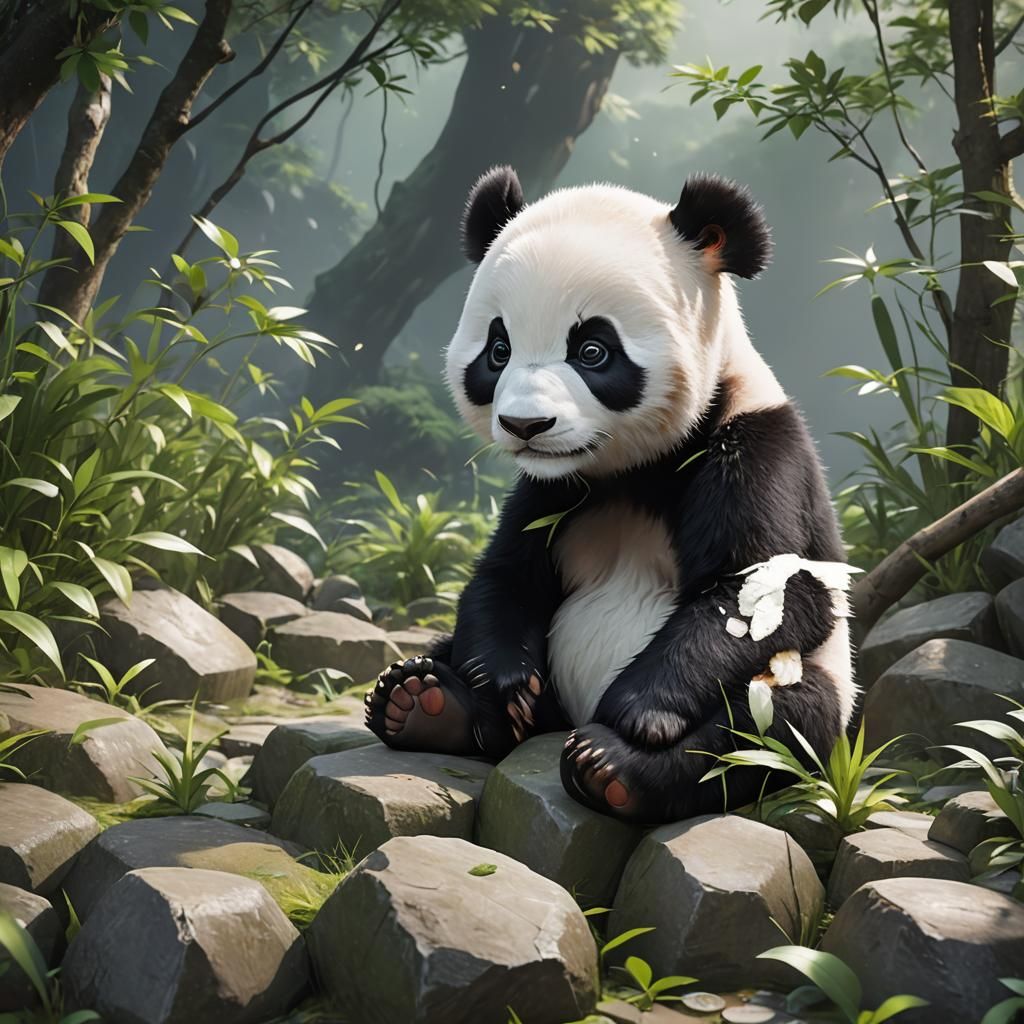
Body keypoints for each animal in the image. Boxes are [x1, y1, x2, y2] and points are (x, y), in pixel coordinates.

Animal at [364, 166, 855, 824]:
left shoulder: (755, 449)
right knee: (465, 669)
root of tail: (565, 717)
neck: (633, 469)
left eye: (592, 350)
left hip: (811, 683)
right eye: (499, 349)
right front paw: (502, 682)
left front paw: (635, 711)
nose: (525, 425)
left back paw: (613, 767)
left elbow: (768, 592)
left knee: (773, 721)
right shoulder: (548, 491)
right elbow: (507, 574)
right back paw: (424, 702)